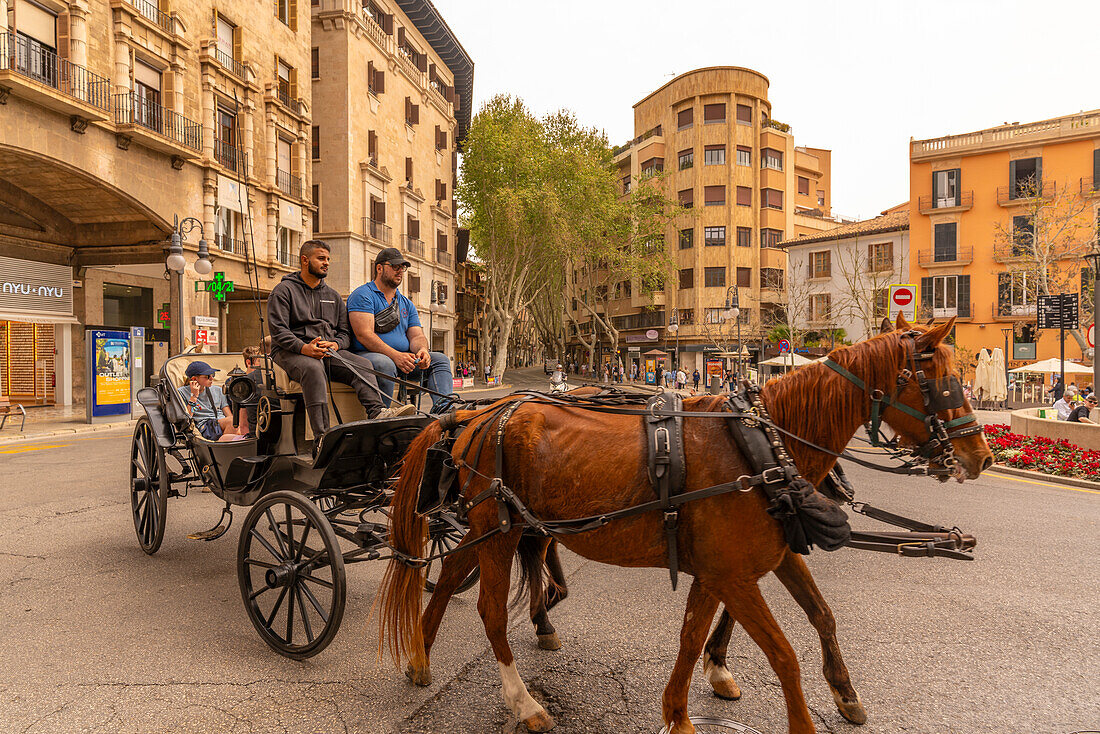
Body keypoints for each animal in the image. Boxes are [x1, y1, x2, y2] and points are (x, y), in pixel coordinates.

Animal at [380, 316, 998, 734]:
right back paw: (524, 701)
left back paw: (420, 656)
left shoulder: (740, 565)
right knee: (489, 610)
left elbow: (752, 625)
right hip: (502, 532)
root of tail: (476, 413)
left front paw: (682, 709)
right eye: (940, 379)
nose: (981, 456)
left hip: (489, 527)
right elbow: (782, 655)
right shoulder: (733, 575)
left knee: (451, 575)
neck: (762, 445)